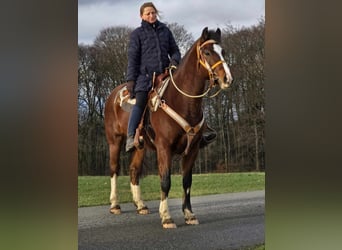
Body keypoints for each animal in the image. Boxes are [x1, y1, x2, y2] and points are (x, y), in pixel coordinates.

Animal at [104, 27, 232, 229]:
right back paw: (115, 205)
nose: (227, 78)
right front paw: (166, 216)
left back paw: (140, 205)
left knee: (134, 171)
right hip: (114, 142)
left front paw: (189, 214)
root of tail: (113, 96)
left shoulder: (193, 149)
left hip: (140, 147)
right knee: (114, 169)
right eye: (207, 52)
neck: (182, 101)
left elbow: (187, 181)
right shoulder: (164, 148)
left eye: (223, 51)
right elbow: (165, 181)